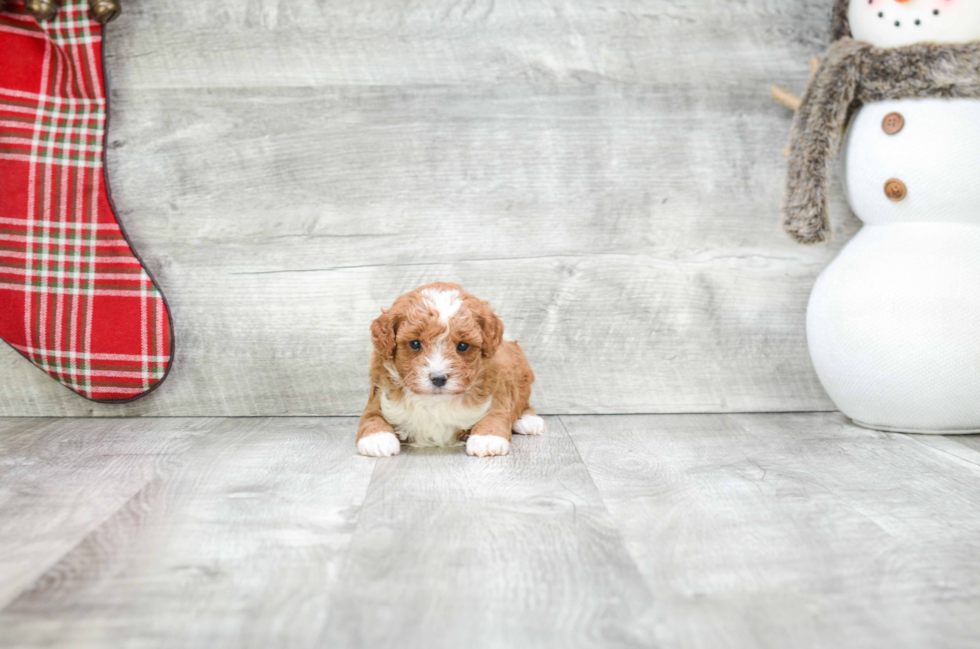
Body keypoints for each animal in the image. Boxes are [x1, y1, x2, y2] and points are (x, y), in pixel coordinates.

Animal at [358, 282, 544, 456]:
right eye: (415, 343)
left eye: (462, 346)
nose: (439, 378)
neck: (434, 402)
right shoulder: (378, 395)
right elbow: (371, 417)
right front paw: (377, 439)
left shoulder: (499, 390)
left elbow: (497, 414)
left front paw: (487, 439)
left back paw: (528, 421)